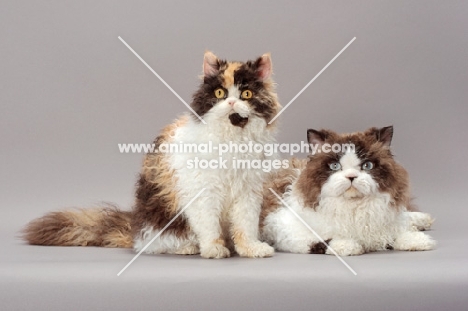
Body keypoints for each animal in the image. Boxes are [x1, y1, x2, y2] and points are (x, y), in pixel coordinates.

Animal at [23, 52, 282, 260]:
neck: (232, 141)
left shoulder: (248, 192)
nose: (231, 102)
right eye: (220, 93)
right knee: (152, 245)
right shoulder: (203, 192)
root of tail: (134, 227)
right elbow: (209, 226)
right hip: (162, 223)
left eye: (246, 94)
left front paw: (251, 249)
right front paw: (213, 250)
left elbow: (245, 226)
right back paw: (187, 248)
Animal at [262, 127, 436, 256]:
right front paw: (350, 246)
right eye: (335, 166)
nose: (351, 176)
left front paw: (420, 241)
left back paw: (424, 220)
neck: (353, 208)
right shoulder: (282, 226)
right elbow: (322, 240)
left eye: (367, 165)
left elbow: (398, 232)